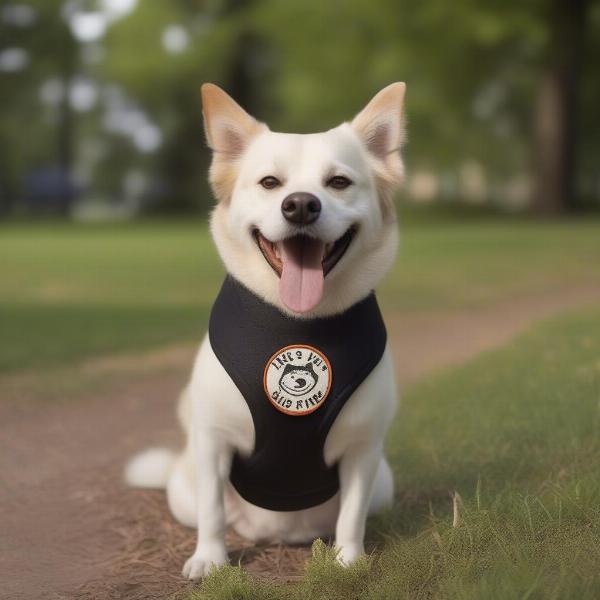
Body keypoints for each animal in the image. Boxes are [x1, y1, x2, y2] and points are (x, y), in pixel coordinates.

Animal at [126, 82, 408, 580]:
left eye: (338, 182)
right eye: (270, 184)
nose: (300, 205)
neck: (298, 321)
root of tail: (280, 535)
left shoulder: (362, 449)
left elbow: (351, 516)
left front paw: (348, 561)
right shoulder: (214, 442)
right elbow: (213, 512)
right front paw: (210, 560)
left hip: (383, 484)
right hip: (185, 489)